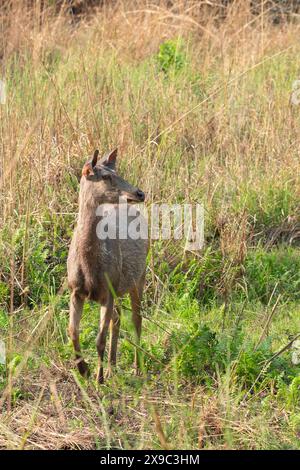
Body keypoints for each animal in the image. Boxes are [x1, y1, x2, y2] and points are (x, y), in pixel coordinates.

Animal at [67, 149, 148, 384]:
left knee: (136, 318)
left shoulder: (108, 291)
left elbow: (99, 338)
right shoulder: (75, 290)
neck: (89, 267)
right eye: (105, 176)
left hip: (139, 276)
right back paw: (113, 367)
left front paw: (98, 377)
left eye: (117, 171)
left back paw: (137, 368)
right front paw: (83, 369)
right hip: (120, 284)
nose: (140, 193)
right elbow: (72, 331)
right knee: (118, 319)